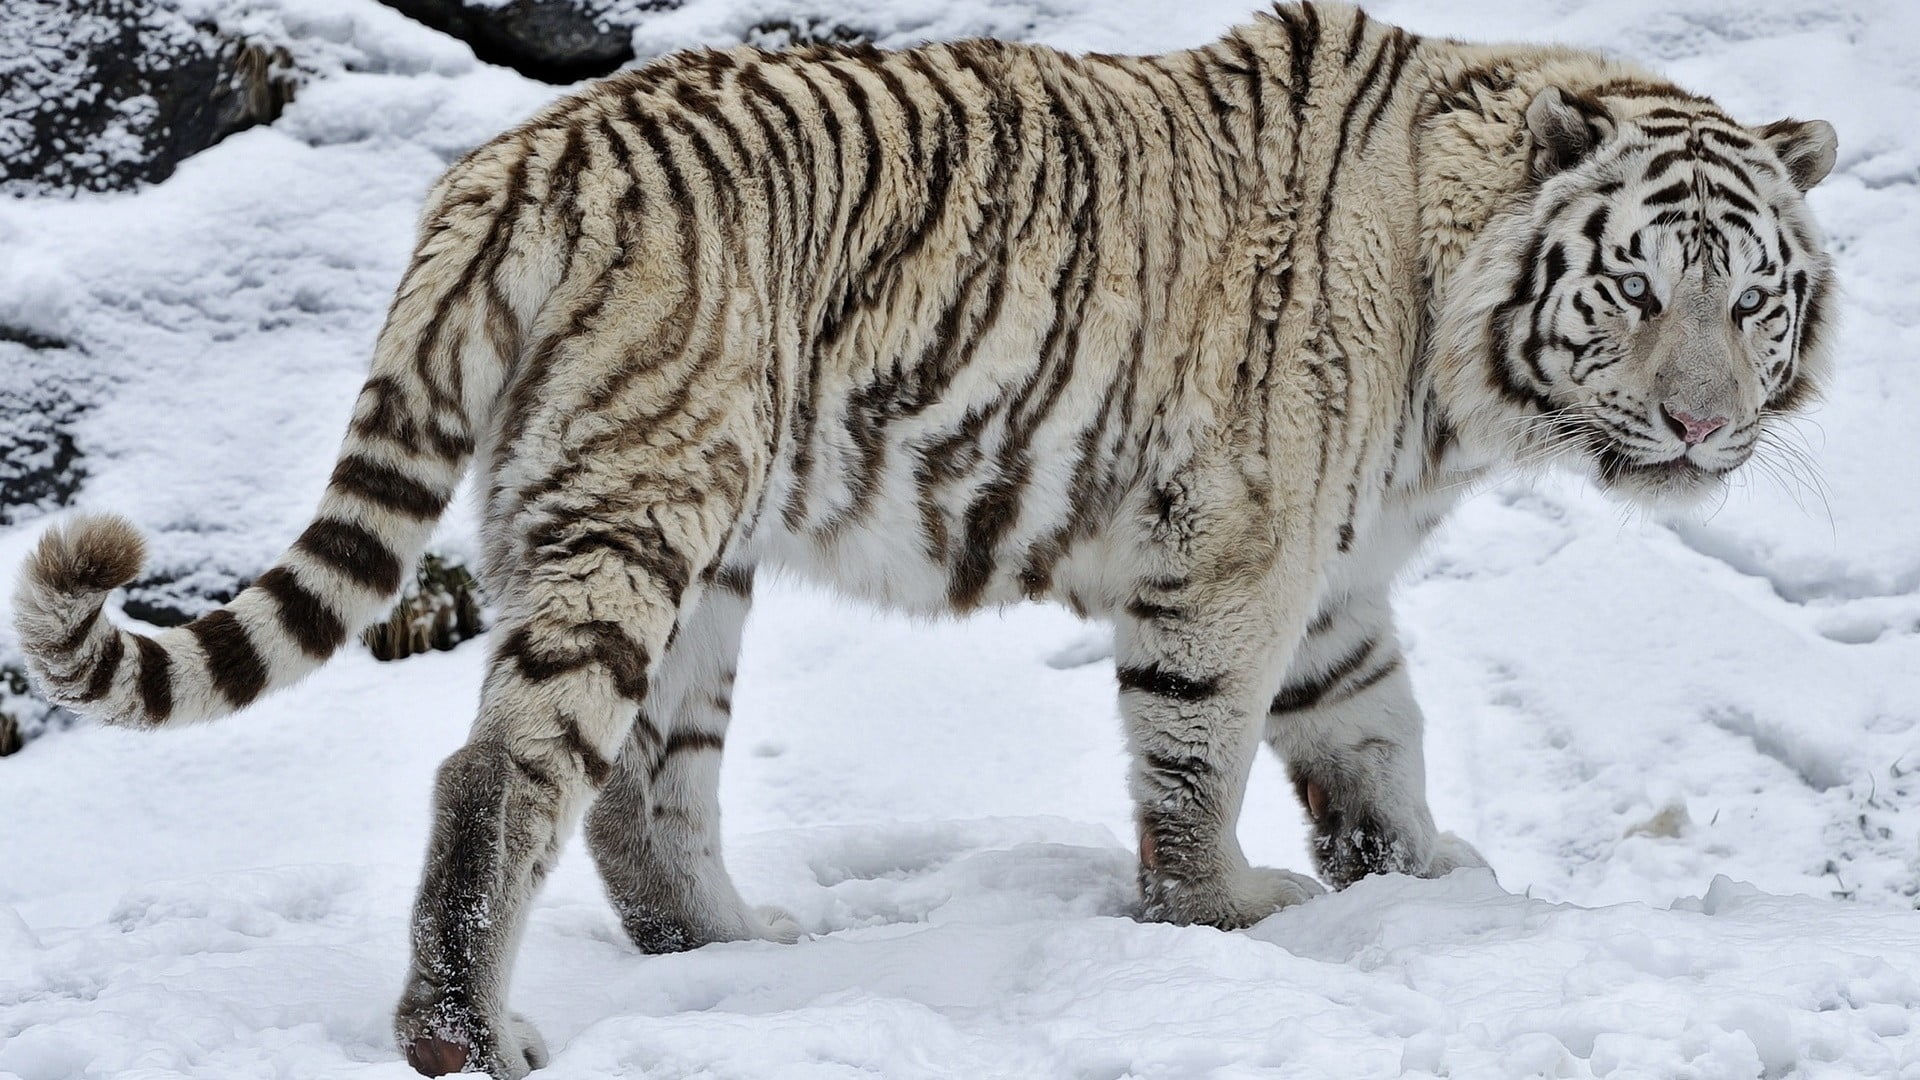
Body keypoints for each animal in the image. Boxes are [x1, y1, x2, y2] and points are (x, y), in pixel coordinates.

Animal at [18, 4, 1843, 1068]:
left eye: (1750, 298)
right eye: (1636, 288)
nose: (1701, 426)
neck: (1462, 348)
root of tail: (518, 160)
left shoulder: (1332, 577)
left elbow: (1374, 734)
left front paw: (1423, 884)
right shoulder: (1235, 548)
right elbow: (1201, 755)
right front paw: (1226, 919)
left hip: (682, 549)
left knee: (640, 783)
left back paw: (726, 950)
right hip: (641, 505)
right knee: (504, 771)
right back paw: (470, 1033)